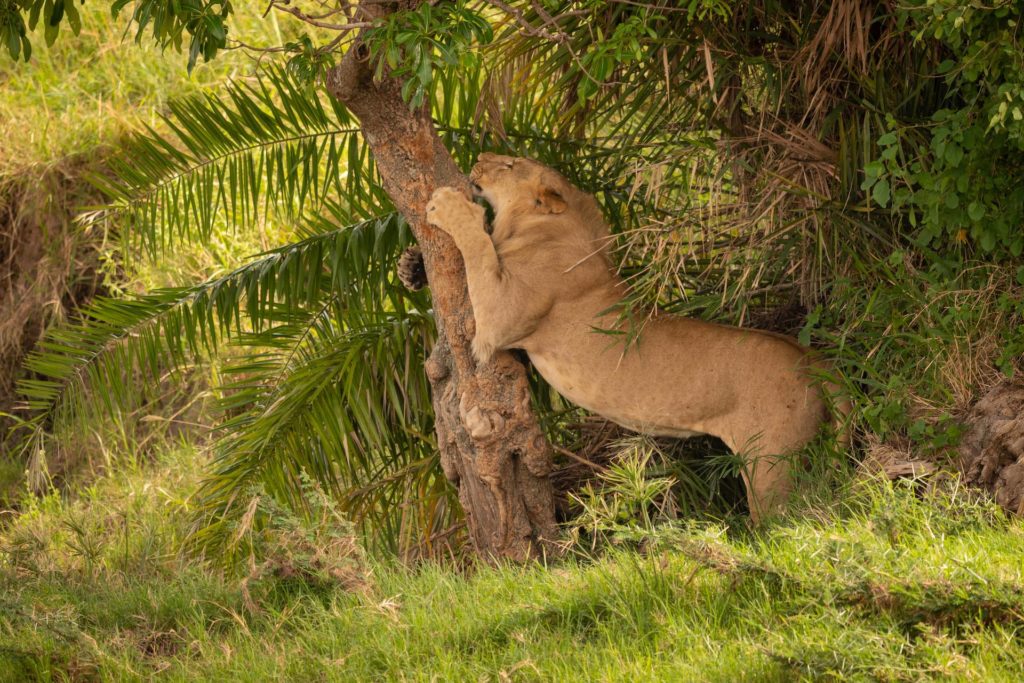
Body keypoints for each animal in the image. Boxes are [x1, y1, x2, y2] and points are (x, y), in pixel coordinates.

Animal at [426, 153, 847, 520]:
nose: (480, 156)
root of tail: (813, 360)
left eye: (511, 164)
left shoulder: (500, 319)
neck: (548, 224)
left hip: (770, 462)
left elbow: (479, 248)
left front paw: (448, 207)